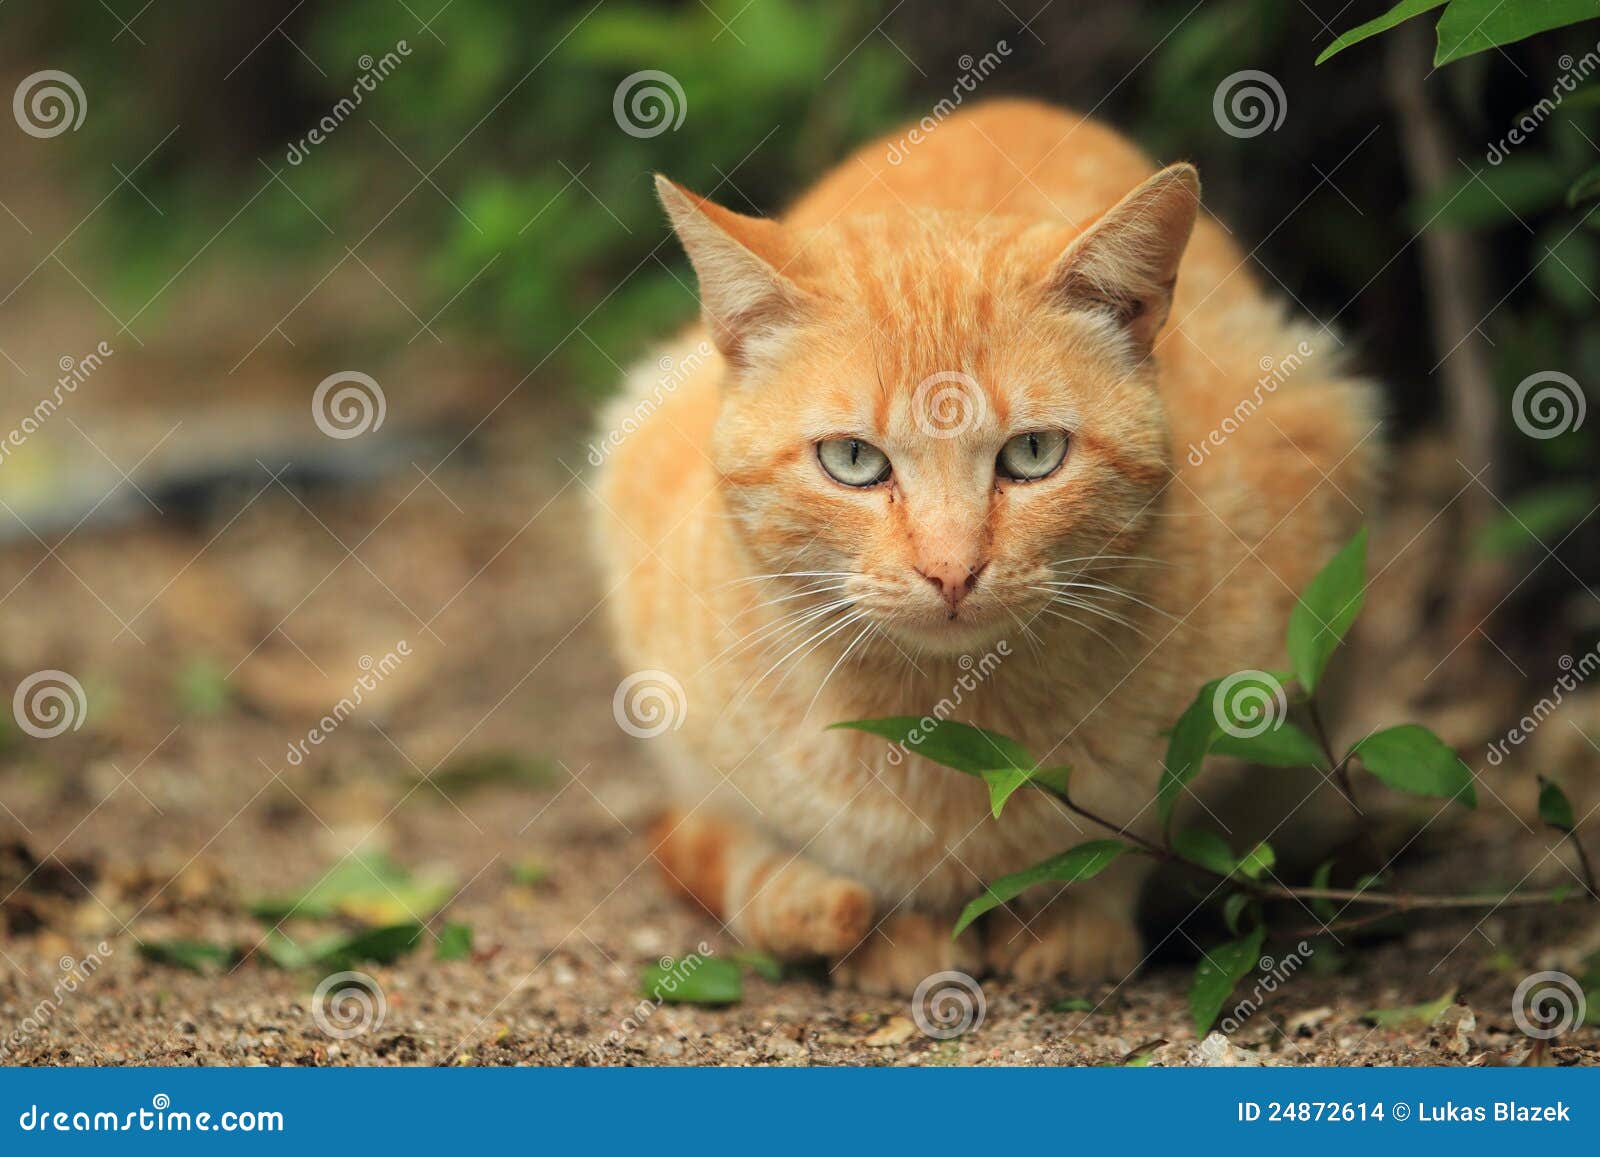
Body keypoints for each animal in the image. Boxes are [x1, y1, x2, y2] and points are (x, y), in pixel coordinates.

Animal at [588, 97, 1376, 998]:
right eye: (852, 460)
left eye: (1033, 453)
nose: (952, 568)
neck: (948, 729)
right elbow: (777, 841)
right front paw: (881, 930)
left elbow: (1126, 849)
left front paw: (1074, 925)